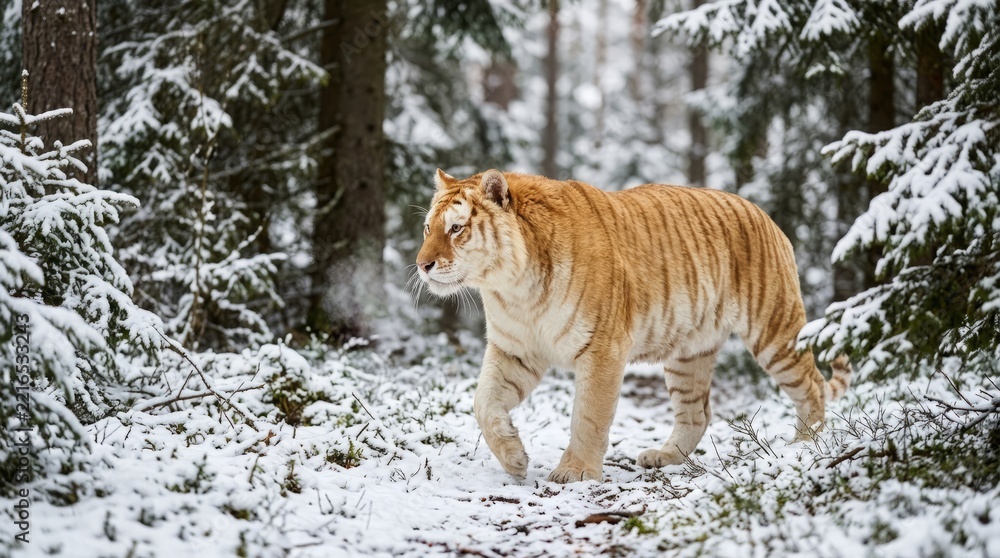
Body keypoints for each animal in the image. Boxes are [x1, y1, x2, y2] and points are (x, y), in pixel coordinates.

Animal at [415, 168, 851, 483]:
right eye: (427, 228)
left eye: (456, 228)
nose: (422, 265)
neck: (514, 289)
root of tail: (765, 215)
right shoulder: (515, 350)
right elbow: (484, 403)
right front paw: (515, 459)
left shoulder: (602, 348)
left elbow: (588, 416)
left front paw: (574, 472)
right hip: (689, 354)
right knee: (697, 414)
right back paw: (663, 457)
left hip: (774, 331)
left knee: (812, 387)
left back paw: (803, 448)